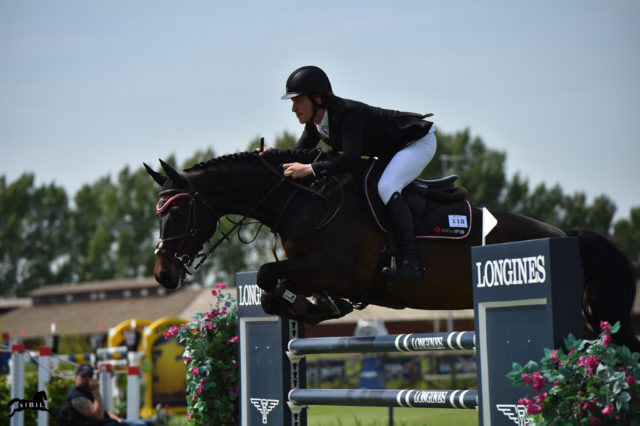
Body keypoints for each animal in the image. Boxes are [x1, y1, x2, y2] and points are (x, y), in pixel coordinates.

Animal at [145, 150, 640, 352]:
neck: (306, 200)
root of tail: (563, 234)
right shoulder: (315, 268)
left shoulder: (339, 270)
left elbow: (269, 275)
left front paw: (304, 305)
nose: (163, 275)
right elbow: (272, 286)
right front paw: (311, 307)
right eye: (158, 212)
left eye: (178, 213)